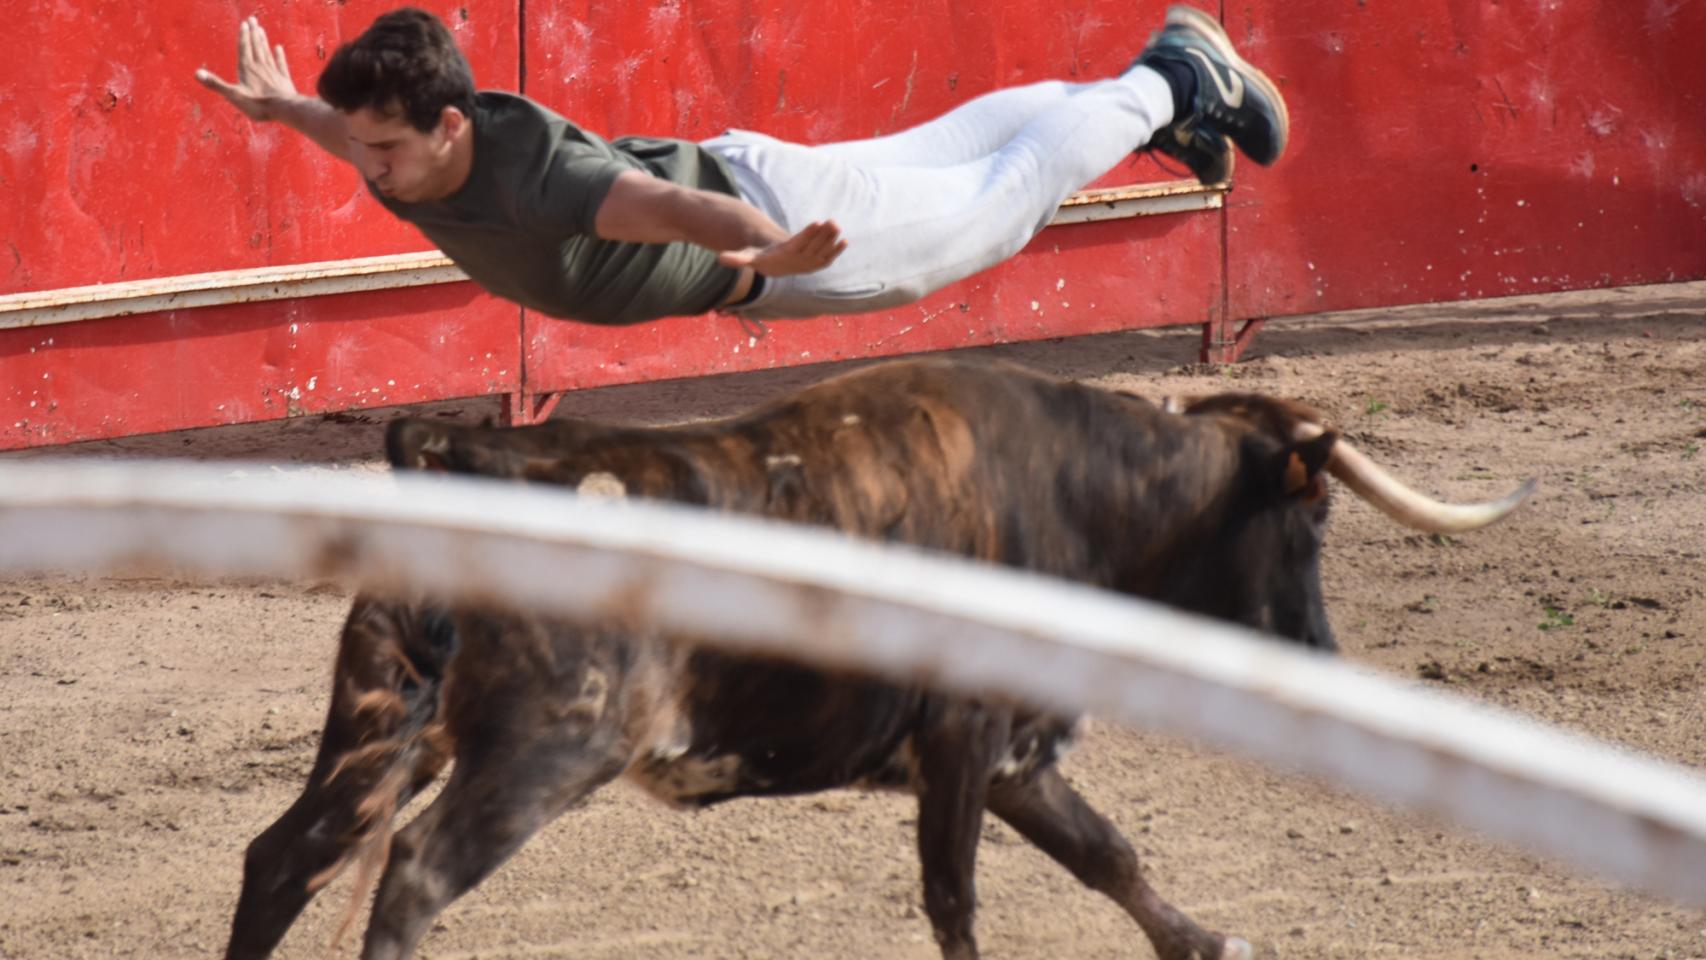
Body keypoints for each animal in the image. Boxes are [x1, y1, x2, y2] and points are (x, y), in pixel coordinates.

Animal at [220, 356, 1528, 960]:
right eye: (1309, 519)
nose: (1321, 656)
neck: (1072, 487)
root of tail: (466, 456)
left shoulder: (1014, 754)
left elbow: (1106, 853)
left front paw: (1205, 940)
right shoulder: (965, 740)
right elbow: (954, 899)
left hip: (381, 722)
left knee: (284, 857)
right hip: (541, 753)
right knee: (414, 876)